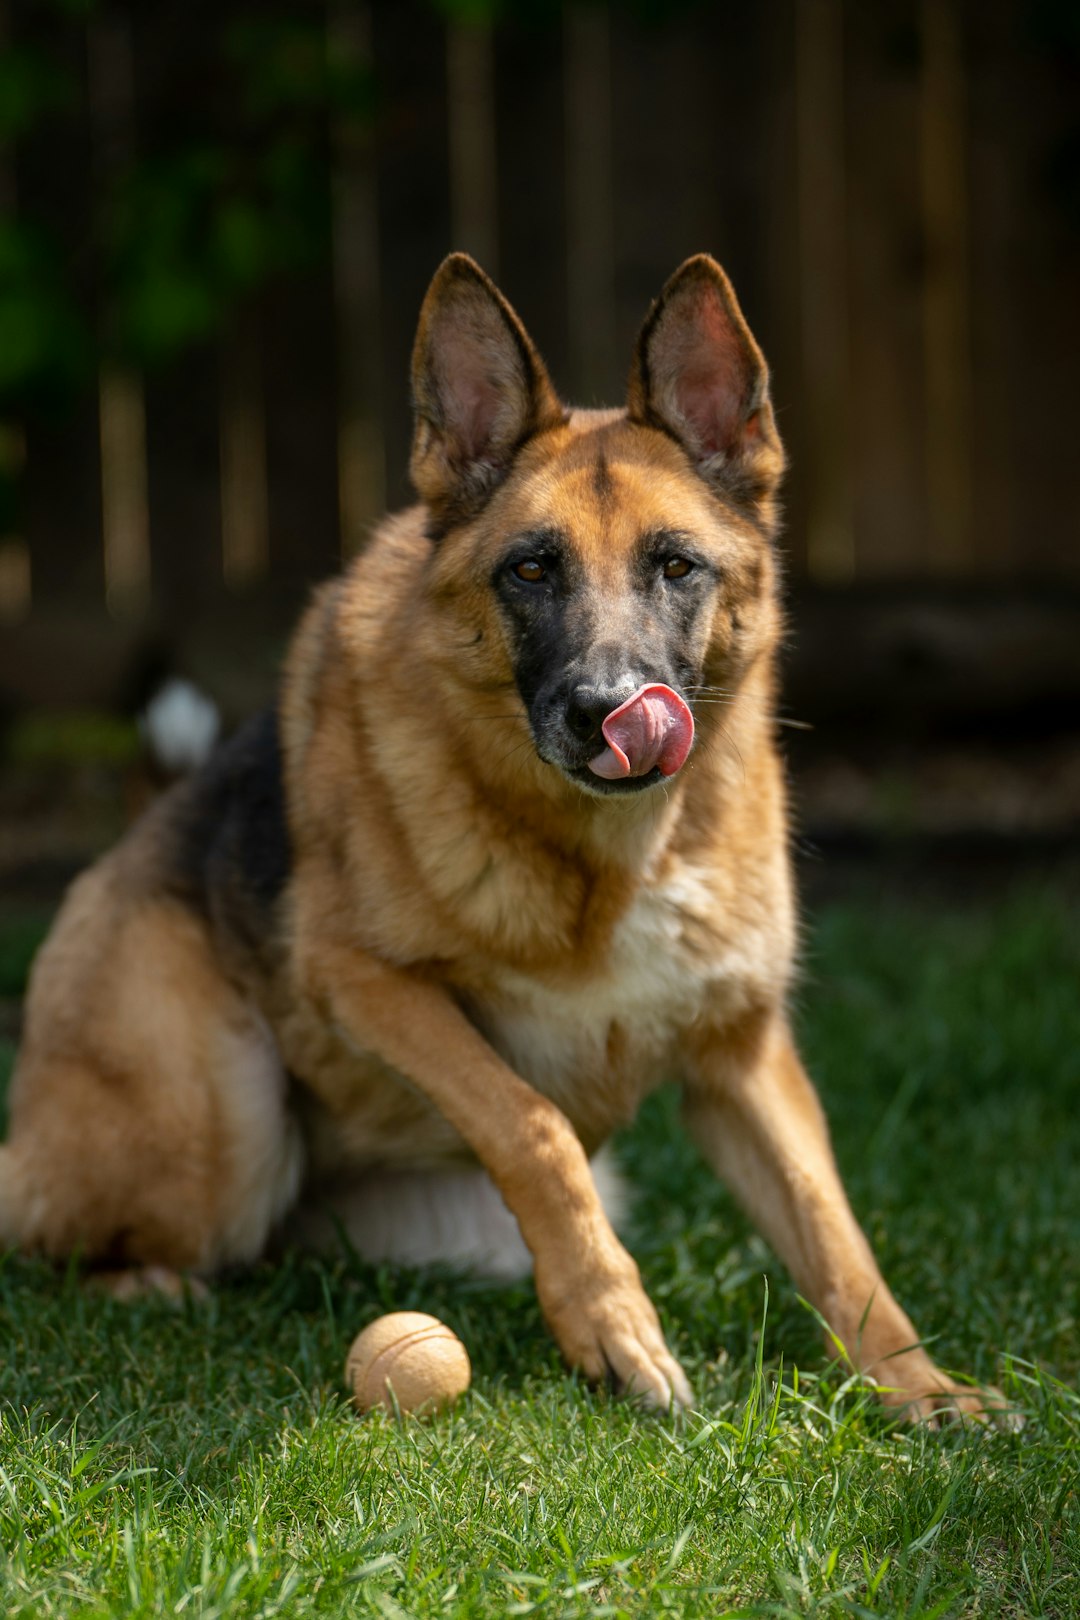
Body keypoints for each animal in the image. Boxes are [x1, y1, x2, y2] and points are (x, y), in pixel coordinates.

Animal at [0, 252, 997, 1419]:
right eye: (530, 570)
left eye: (677, 567)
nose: (607, 711)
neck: (611, 853)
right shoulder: (364, 980)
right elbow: (533, 1123)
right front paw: (614, 1325)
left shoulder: (742, 1057)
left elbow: (832, 1230)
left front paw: (920, 1387)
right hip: (223, 1122)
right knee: (61, 1231)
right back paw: (150, 1281)